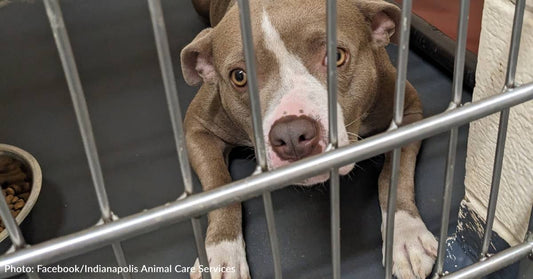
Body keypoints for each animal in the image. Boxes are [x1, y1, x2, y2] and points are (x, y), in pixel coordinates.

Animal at [179, 0, 436, 279]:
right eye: (239, 76)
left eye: (337, 56)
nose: (292, 135)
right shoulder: (197, 127)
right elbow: (219, 184)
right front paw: (222, 252)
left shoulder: (409, 111)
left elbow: (394, 174)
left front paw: (406, 234)